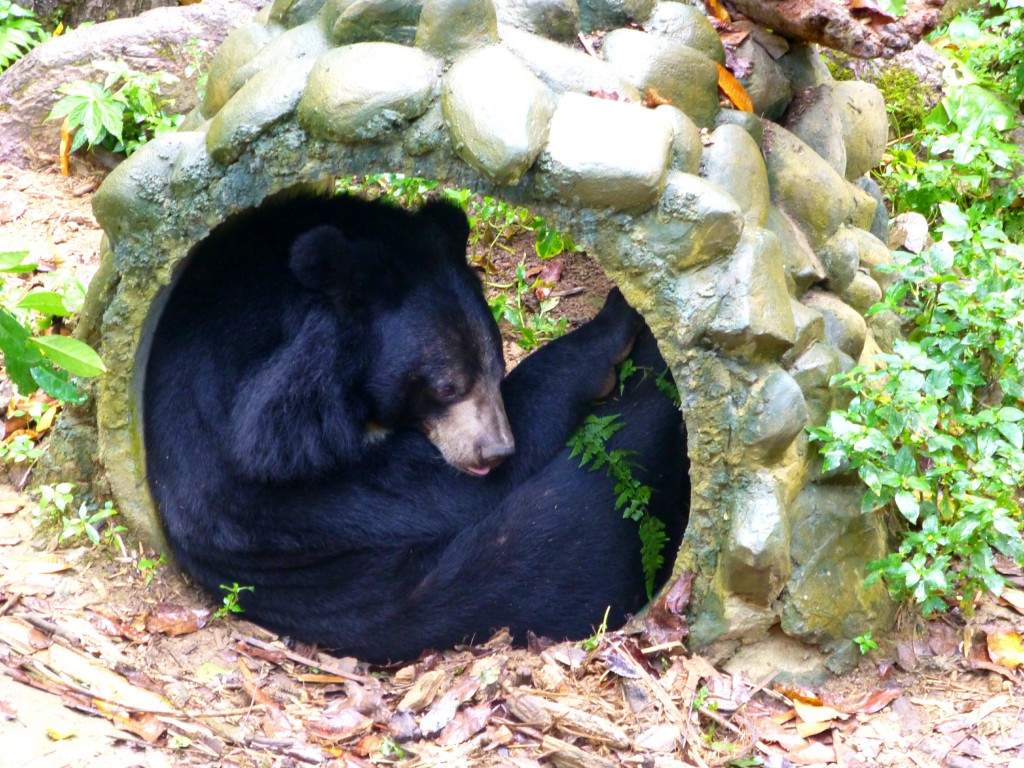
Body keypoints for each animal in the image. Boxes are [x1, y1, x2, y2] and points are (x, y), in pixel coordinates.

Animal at [144, 191, 688, 663]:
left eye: (496, 366)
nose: (495, 451)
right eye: (446, 387)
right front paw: (616, 327)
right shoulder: (263, 470)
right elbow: (420, 488)